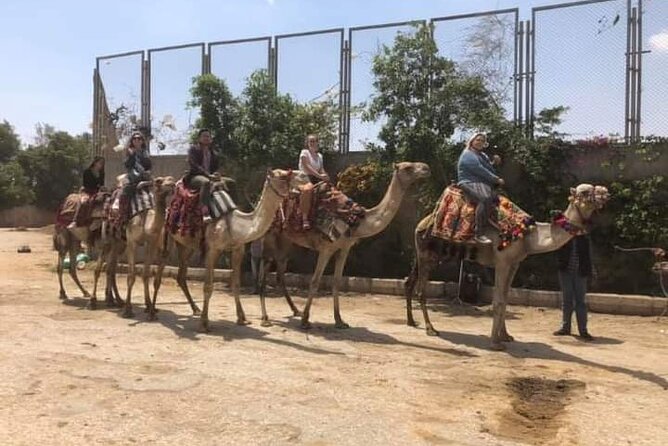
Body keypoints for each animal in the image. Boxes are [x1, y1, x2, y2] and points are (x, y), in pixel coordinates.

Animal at [165, 169, 309, 332]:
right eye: (282, 175)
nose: (304, 175)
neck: (234, 225)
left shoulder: (238, 249)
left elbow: (236, 284)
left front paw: (242, 318)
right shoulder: (212, 249)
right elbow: (208, 287)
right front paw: (203, 324)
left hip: (187, 245)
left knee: (181, 275)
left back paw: (195, 309)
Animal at [259, 162, 431, 329]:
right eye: (408, 167)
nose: (426, 168)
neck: (355, 220)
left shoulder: (344, 248)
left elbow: (337, 282)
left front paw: (339, 321)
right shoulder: (326, 248)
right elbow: (314, 282)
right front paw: (306, 321)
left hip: (286, 241)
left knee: (280, 272)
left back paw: (295, 310)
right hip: (269, 236)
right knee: (265, 270)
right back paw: (265, 318)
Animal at [404, 183, 610, 350]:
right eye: (584, 192)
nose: (606, 192)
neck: (528, 236)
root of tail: (422, 222)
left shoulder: (514, 264)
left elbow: (506, 298)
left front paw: (506, 336)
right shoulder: (502, 262)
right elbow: (498, 300)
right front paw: (495, 342)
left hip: (433, 255)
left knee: (409, 282)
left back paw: (412, 321)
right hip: (425, 253)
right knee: (421, 290)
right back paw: (431, 329)